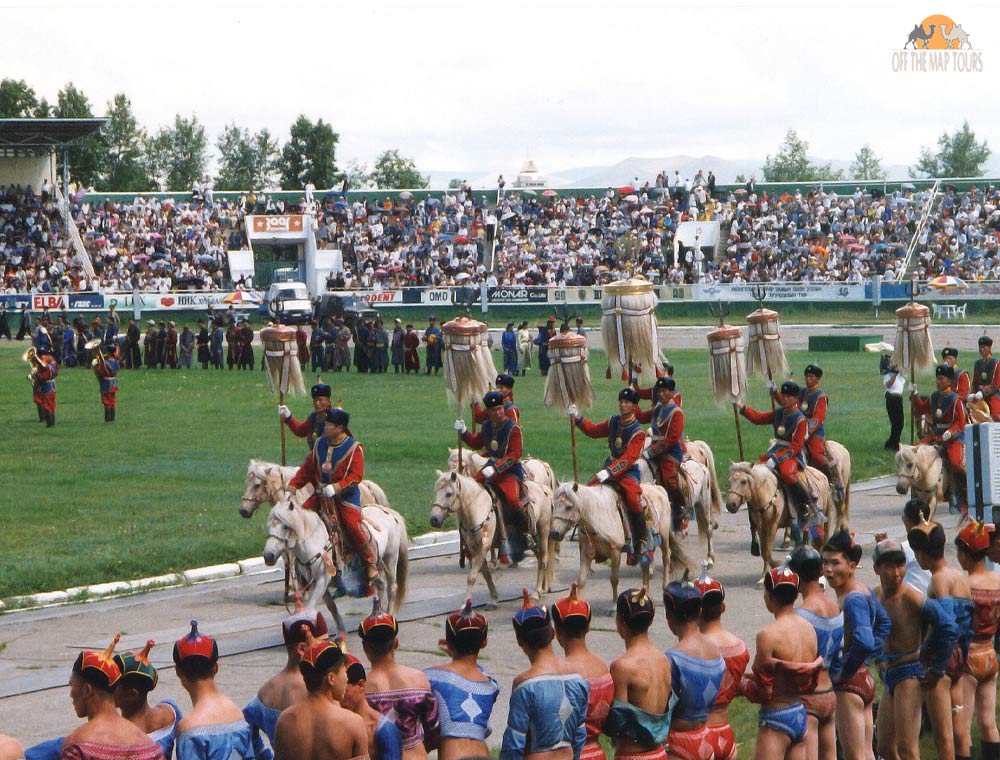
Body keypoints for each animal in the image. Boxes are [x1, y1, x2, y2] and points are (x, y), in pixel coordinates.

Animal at [264, 498, 412, 640]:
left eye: (285, 526)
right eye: (269, 527)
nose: (268, 556)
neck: (316, 542)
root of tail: (389, 512)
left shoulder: (322, 579)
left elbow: (310, 607)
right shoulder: (318, 583)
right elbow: (331, 607)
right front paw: (340, 633)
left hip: (391, 558)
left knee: (392, 588)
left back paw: (390, 617)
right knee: (380, 586)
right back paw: (377, 616)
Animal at [428, 470, 560, 604]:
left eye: (449, 494)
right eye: (436, 491)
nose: (434, 520)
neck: (477, 508)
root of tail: (543, 489)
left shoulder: (483, 547)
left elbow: (472, 576)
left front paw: (465, 605)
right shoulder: (474, 548)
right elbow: (486, 574)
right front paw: (493, 598)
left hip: (543, 531)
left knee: (543, 560)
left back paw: (536, 592)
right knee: (539, 557)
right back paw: (543, 588)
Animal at [548, 484, 688, 604]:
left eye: (568, 507)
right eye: (554, 505)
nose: (554, 533)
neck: (599, 517)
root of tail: (658, 488)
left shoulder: (615, 553)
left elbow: (614, 580)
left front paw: (614, 606)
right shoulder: (586, 554)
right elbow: (581, 581)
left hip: (663, 536)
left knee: (666, 558)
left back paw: (665, 587)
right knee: (645, 566)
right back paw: (643, 595)